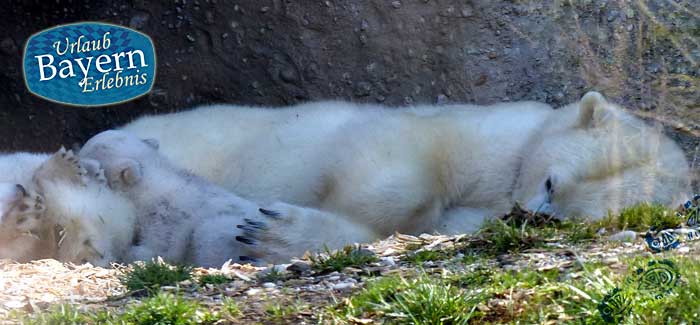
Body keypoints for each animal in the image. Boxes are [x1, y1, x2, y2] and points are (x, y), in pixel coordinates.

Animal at [121, 91, 696, 260]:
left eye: (564, 216)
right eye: (552, 182)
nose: (526, 216)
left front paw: (278, 234)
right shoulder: (488, 135)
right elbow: (402, 158)